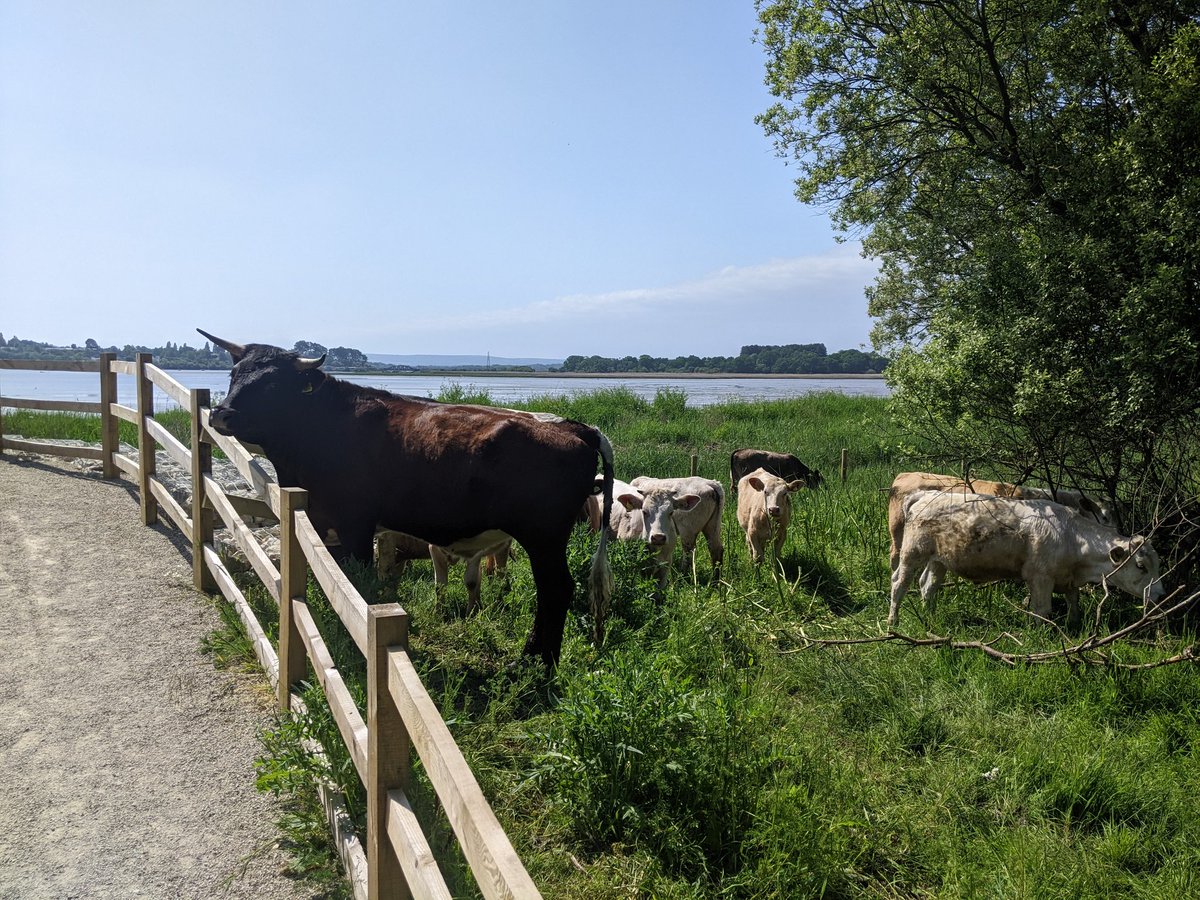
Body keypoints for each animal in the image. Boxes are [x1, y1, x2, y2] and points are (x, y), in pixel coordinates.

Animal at [198, 330, 614, 667]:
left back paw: (536, 662)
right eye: (234, 375)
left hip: (544, 538)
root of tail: (576, 427)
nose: (222, 415)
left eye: (273, 384)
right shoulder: (323, 523)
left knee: (556, 590)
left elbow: (355, 583)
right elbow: (332, 578)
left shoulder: (356, 524)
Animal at [888, 490, 1163, 629]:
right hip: (912, 553)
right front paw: (1041, 635)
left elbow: (1073, 602)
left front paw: (1074, 624)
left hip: (938, 560)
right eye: (1141, 566)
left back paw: (930, 617)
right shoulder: (1040, 577)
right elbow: (1042, 610)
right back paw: (893, 622)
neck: (1071, 536)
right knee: (899, 584)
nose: (1161, 595)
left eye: (1158, 564)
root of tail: (924, 494)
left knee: (928, 585)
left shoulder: (1068, 579)